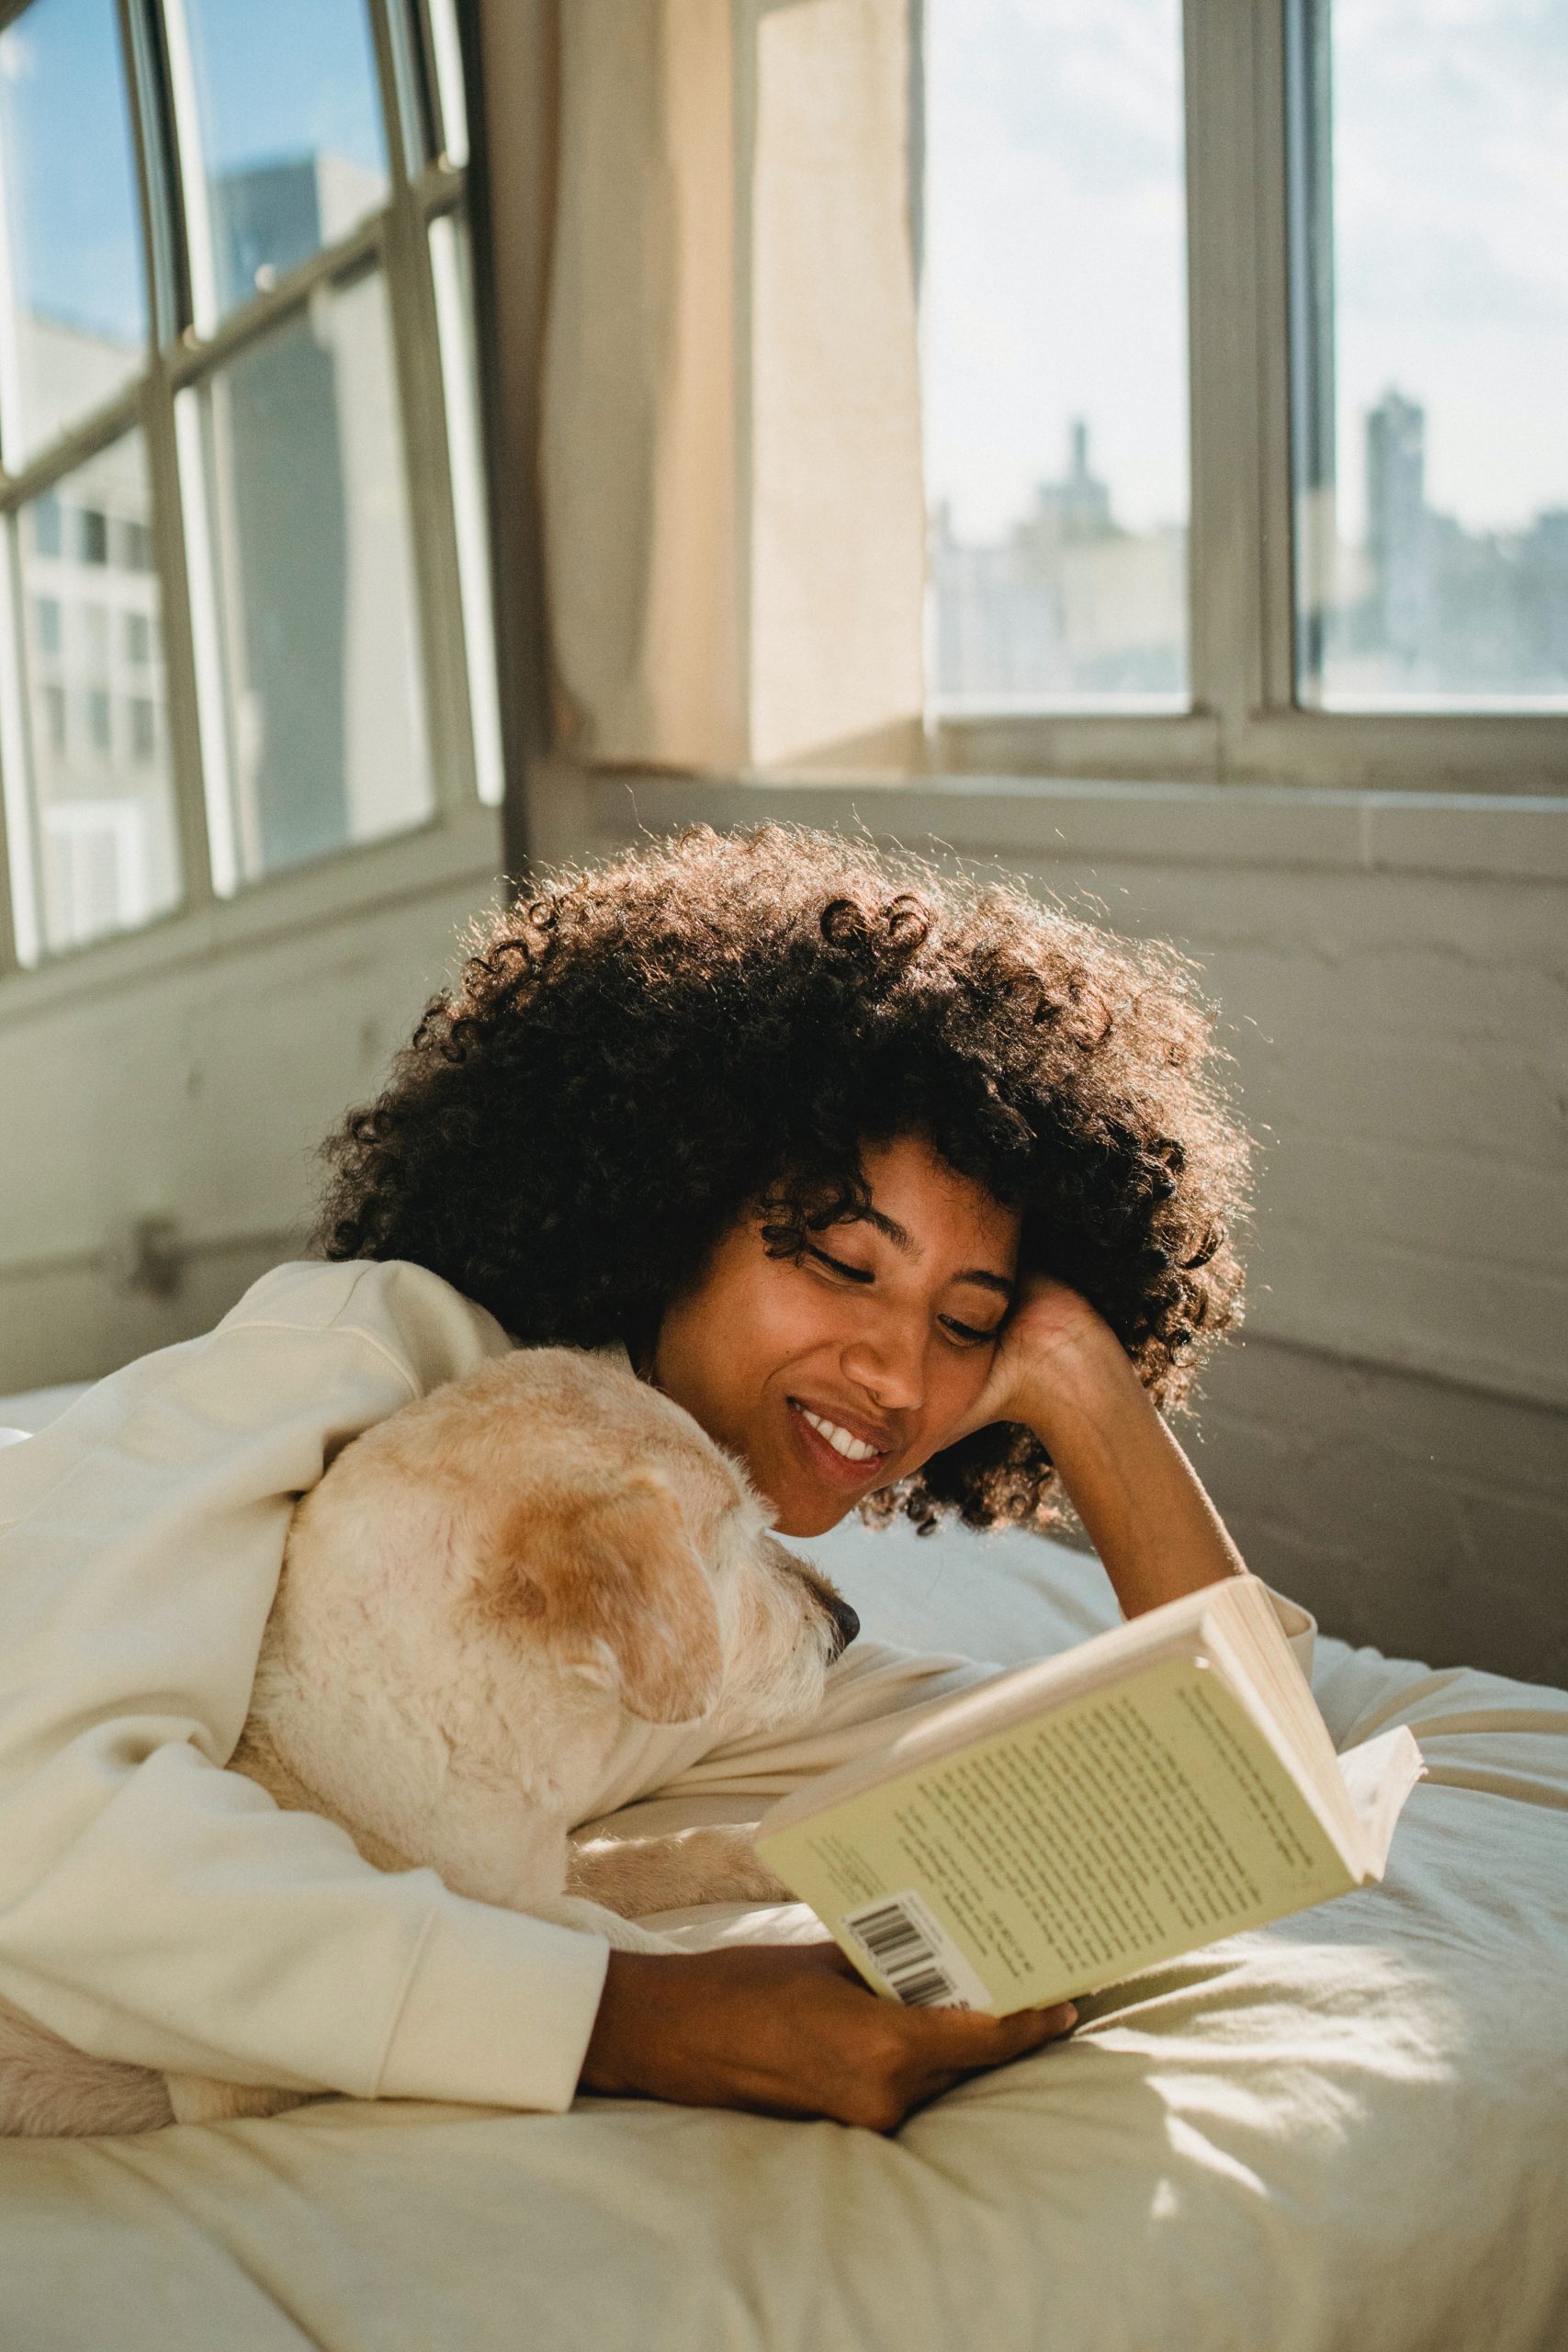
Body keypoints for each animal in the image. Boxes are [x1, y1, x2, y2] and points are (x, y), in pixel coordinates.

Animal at [0, 1345, 860, 2135]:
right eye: (734, 1542)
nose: (847, 1621)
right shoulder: (230, 2085)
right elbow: (599, 1932)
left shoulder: (529, 1866)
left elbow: (654, 1854)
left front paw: (766, 1855)